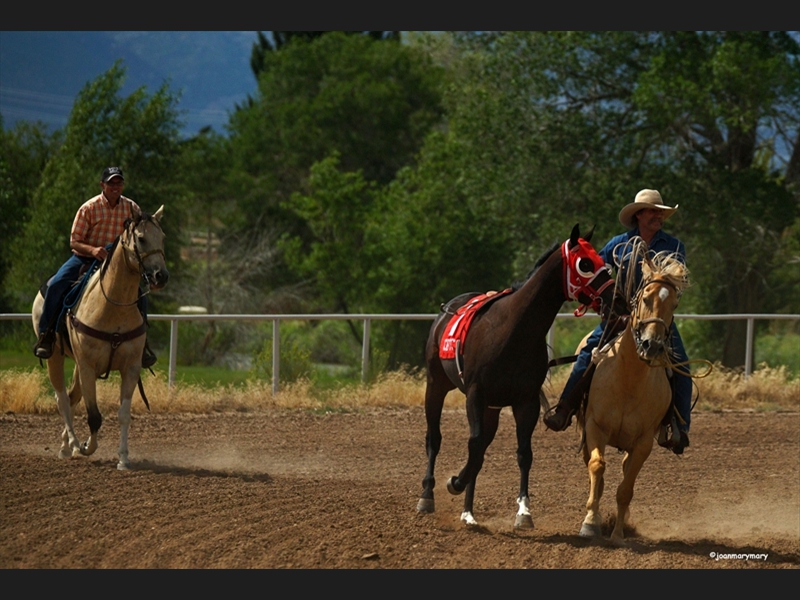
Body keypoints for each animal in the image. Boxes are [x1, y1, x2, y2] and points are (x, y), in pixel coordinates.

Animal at [32, 205, 170, 468]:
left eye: (162, 238)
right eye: (141, 238)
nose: (161, 276)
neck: (112, 306)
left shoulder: (130, 367)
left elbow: (123, 414)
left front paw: (123, 459)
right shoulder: (88, 366)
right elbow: (94, 416)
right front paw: (86, 447)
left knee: (72, 397)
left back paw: (66, 445)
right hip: (56, 357)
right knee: (62, 400)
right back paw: (72, 444)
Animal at [418, 223, 620, 528]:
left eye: (602, 261)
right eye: (585, 263)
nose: (617, 300)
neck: (513, 330)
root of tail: (448, 309)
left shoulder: (525, 401)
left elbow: (522, 453)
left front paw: (524, 511)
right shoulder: (475, 393)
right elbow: (472, 444)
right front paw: (454, 483)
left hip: (490, 407)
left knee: (480, 448)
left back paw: (468, 510)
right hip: (436, 385)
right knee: (435, 438)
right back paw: (427, 496)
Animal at [576, 246, 688, 548]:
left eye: (674, 304)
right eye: (646, 297)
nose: (652, 345)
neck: (628, 379)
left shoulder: (643, 442)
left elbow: (626, 489)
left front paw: (617, 535)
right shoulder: (594, 427)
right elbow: (597, 466)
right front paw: (590, 523)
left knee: (625, 473)